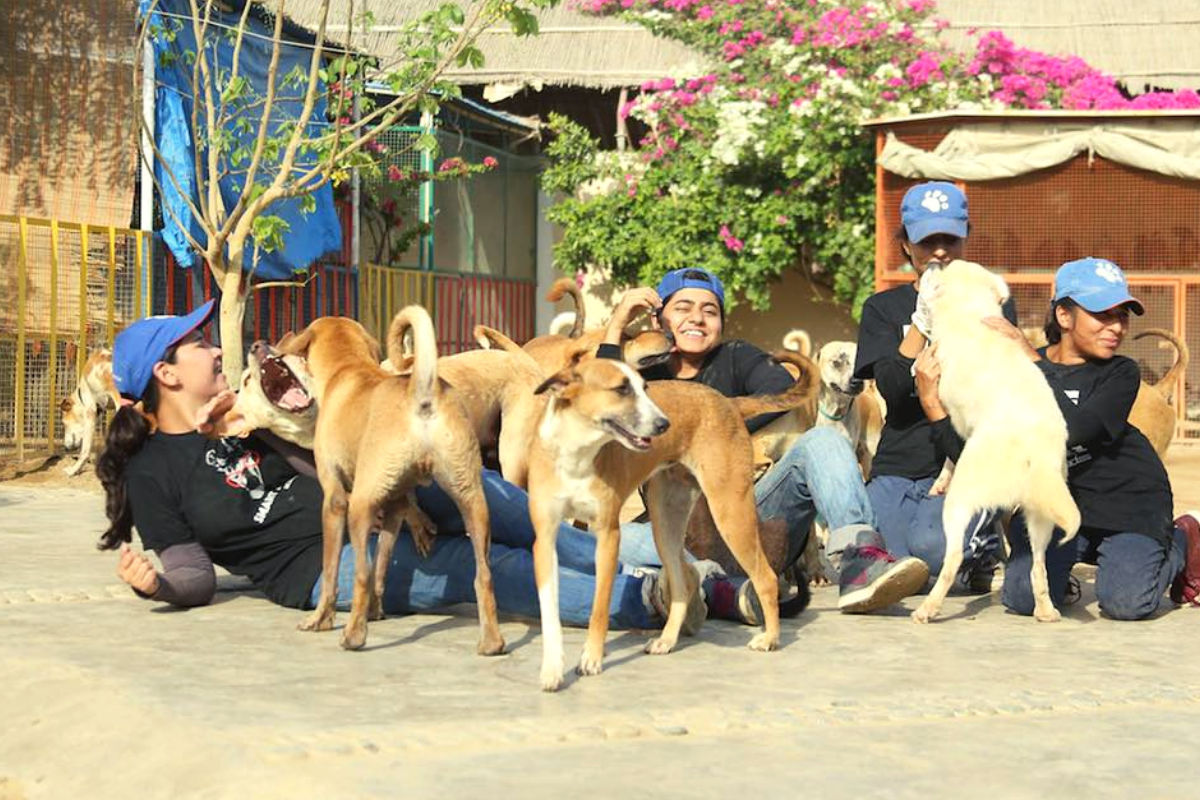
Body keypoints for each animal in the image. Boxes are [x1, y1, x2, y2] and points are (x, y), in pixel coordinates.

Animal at [523, 352, 816, 690]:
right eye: (622, 389)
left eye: (645, 387)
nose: (664, 424)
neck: (576, 453)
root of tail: (729, 403)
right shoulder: (544, 541)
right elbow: (549, 612)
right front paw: (552, 668)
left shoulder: (608, 537)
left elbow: (599, 608)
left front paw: (591, 658)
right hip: (665, 526)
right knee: (680, 587)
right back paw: (667, 639)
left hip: (730, 512)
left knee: (765, 578)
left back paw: (770, 638)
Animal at [902, 260, 1084, 623]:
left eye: (940, 269)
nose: (932, 261)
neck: (973, 313)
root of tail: (1036, 452)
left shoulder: (955, 419)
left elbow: (948, 455)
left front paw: (939, 480)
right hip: (1039, 519)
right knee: (1038, 567)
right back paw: (1045, 611)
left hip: (960, 503)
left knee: (953, 559)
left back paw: (928, 609)